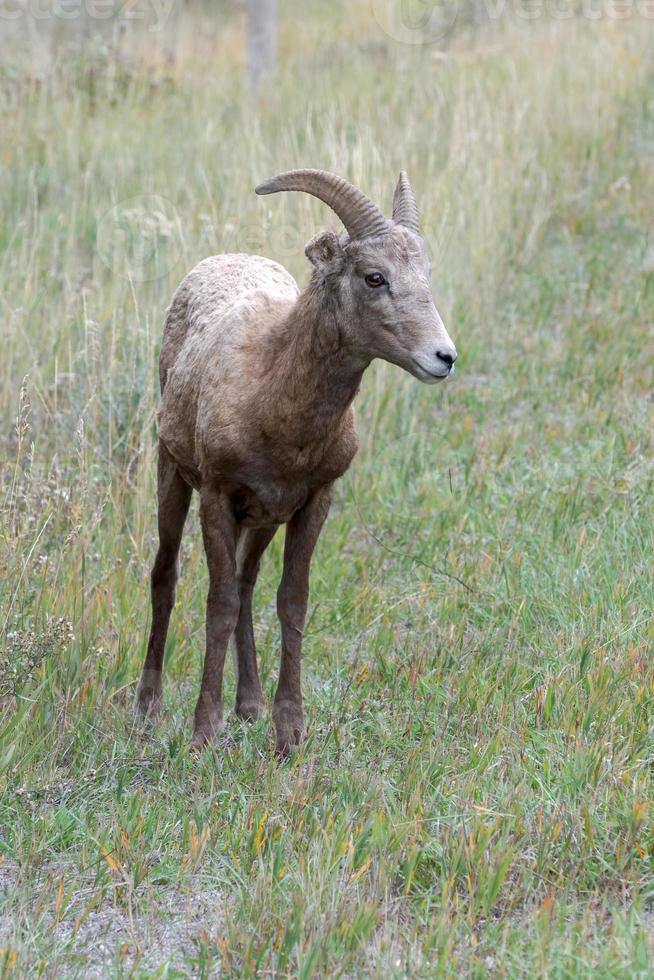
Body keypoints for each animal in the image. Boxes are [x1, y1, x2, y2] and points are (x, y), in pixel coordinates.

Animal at [136, 168, 458, 756]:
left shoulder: (311, 502)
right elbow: (218, 604)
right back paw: (147, 708)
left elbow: (290, 602)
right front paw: (203, 733)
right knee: (165, 575)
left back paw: (249, 706)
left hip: (262, 519)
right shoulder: (216, 498)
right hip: (172, 476)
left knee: (247, 583)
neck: (272, 395)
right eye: (374, 277)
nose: (443, 358)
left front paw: (288, 733)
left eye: (424, 272)